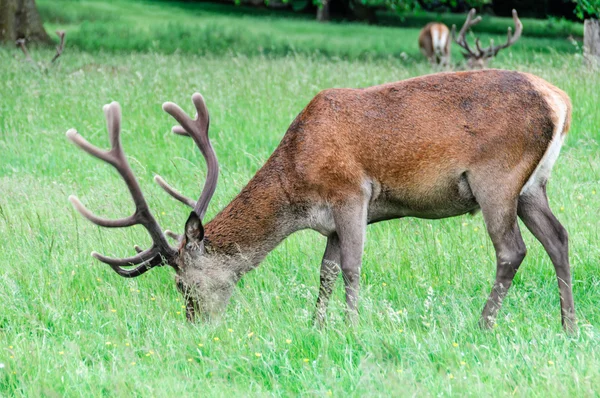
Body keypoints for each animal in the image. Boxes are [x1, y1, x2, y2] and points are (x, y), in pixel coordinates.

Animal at [67, 68, 576, 332]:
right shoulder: (329, 220)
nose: (193, 325)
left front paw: (351, 329)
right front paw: (317, 327)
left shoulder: (351, 194)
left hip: (497, 178)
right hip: (532, 186)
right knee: (559, 238)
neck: (297, 187)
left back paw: (482, 325)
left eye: (181, 285)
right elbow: (326, 271)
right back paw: (568, 326)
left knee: (512, 250)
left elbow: (351, 266)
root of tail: (560, 100)